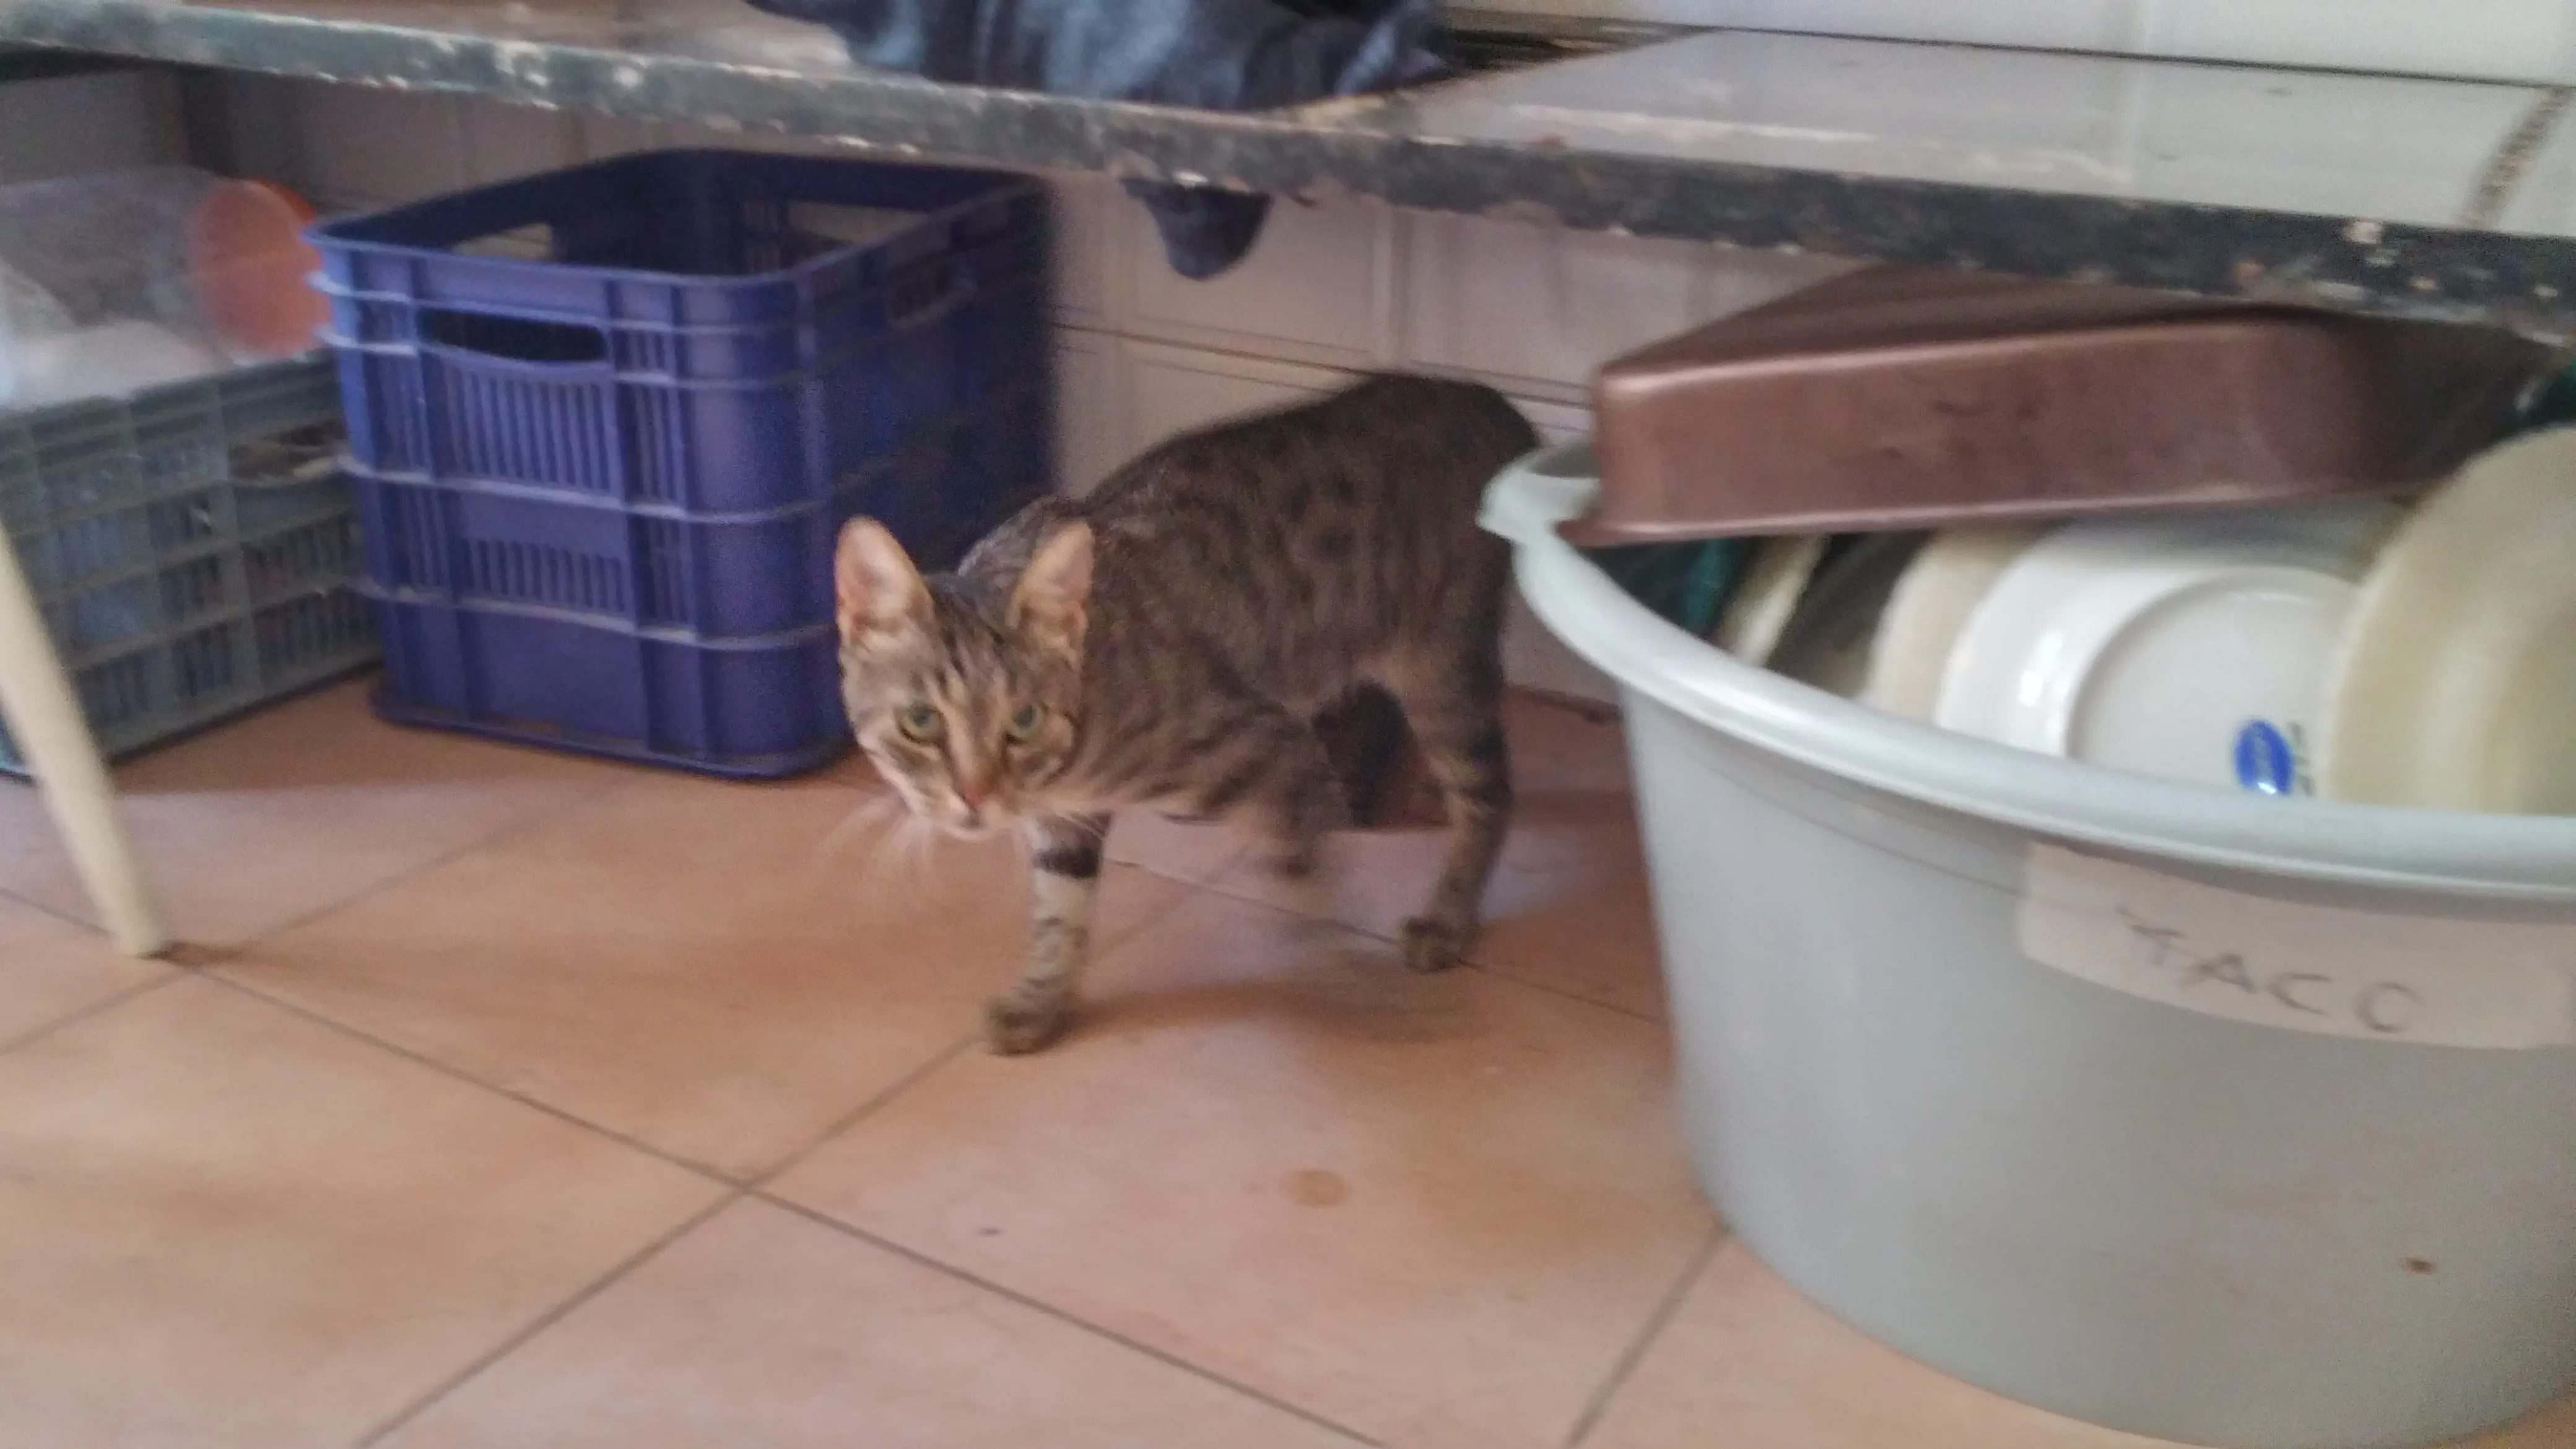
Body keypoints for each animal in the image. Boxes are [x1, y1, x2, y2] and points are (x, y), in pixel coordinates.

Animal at [832, 372, 1539, 1053]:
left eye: (1023, 720)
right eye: (920, 721)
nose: (975, 796)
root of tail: (1489, 402)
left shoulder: (1278, 749)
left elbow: (1311, 889)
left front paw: (1351, 985)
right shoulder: (1062, 823)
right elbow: (1061, 911)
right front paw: (1041, 1000)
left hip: (1440, 671)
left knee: (1490, 794)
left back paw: (1447, 918)